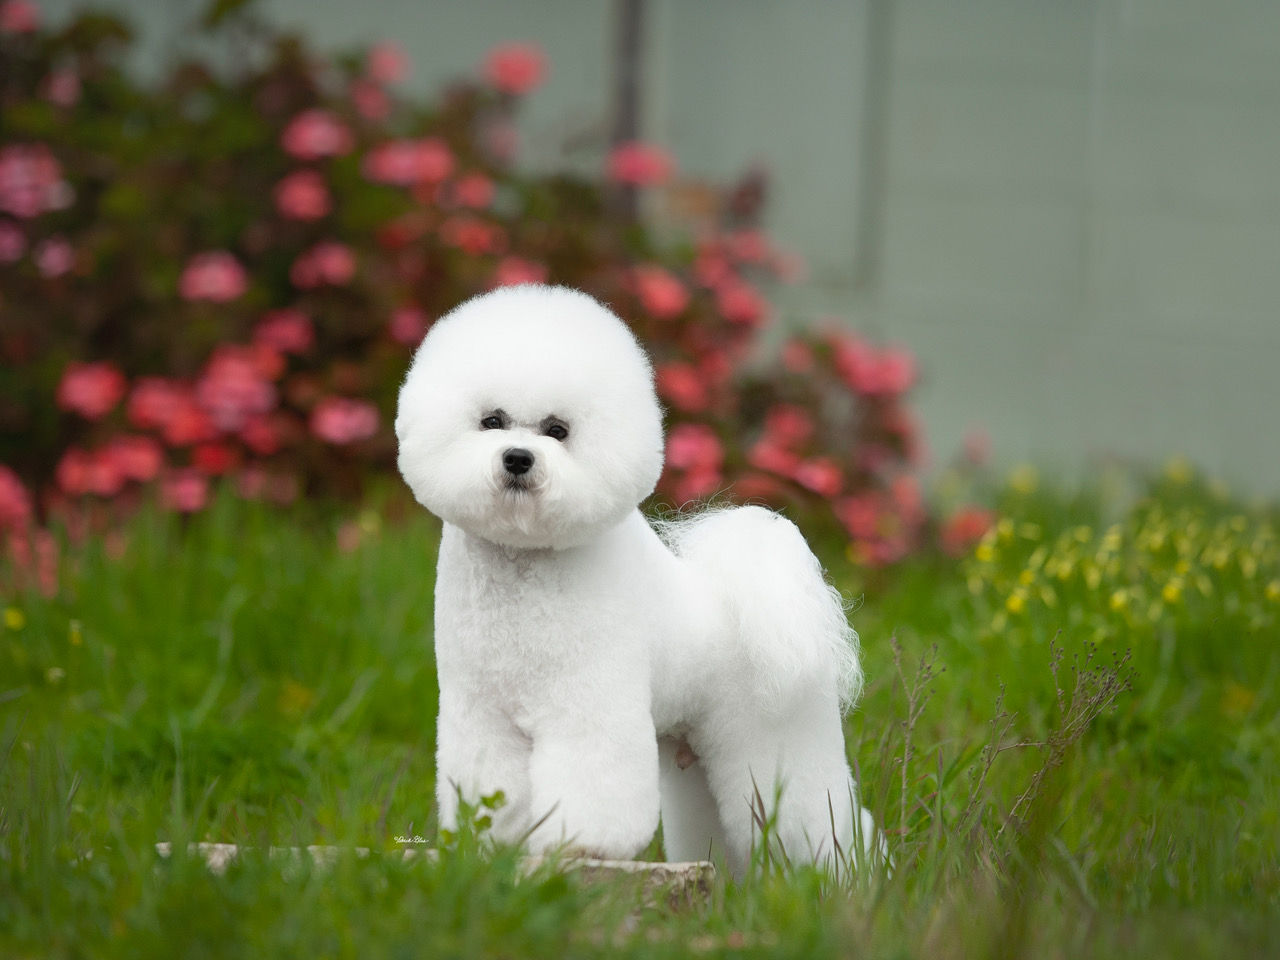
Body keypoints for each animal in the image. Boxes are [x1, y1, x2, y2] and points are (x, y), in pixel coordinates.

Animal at [396, 281, 880, 875]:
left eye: (558, 431)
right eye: (491, 420)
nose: (518, 458)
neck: (526, 563)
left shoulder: (589, 704)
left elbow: (592, 783)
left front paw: (582, 846)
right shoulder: (482, 714)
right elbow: (492, 783)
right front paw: (492, 846)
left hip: (778, 736)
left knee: (825, 827)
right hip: (697, 760)